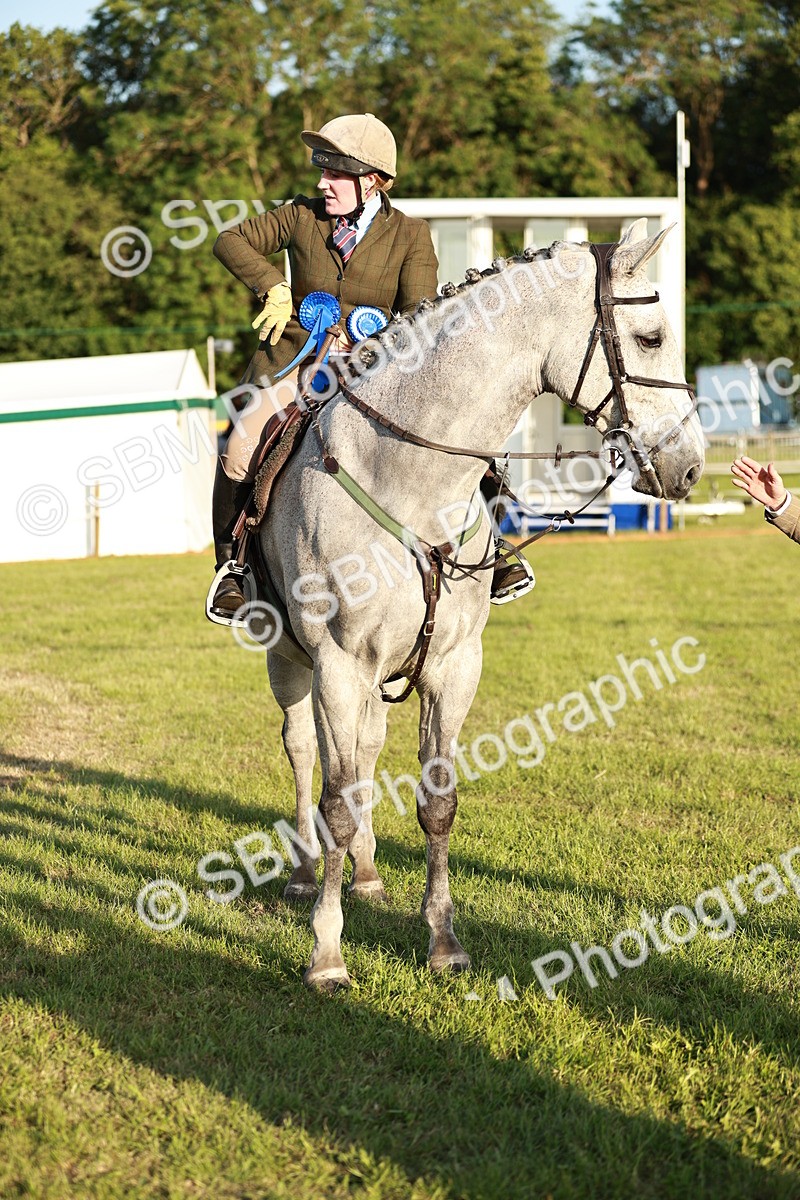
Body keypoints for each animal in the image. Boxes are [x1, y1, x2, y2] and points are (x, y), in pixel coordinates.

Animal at [256, 219, 705, 991]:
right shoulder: (338, 665)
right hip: (290, 662)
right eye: (649, 338)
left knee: (365, 753)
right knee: (304, 753)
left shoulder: (453, 666)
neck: (412, 479)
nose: (691, 467)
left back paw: (367, 874)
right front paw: (327, 955)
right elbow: (337, 801)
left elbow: (436, 805)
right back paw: (306, 872)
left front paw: (443, 942)